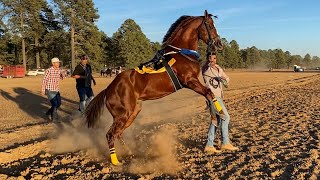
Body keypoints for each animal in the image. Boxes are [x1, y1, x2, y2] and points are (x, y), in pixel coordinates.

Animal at [86, 9, 224, 165]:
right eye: (210, 25)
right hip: (123, 115)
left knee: (118, 133)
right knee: (110, 135)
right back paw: (116, 162)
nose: (219, 43)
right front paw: (218, 114)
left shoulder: (193, 82)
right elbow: (209, 92)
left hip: (132, 112)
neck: (181, 53)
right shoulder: (190, 81)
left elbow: (209, 93)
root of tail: (108, 89)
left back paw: (130, 153)